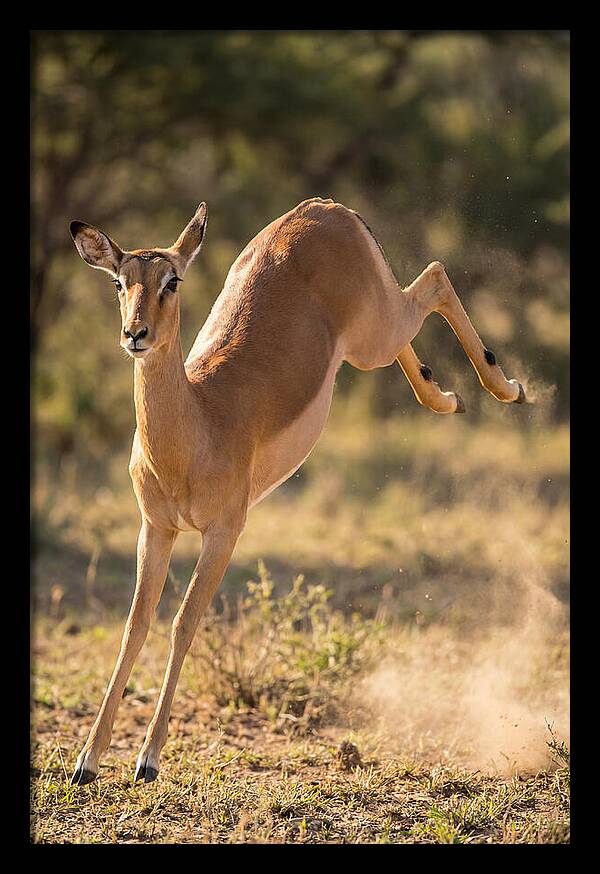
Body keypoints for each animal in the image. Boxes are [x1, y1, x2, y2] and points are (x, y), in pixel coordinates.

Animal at [69, 197, 527, 785]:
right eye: (119, 281)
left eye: (171, 280)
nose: (135, 334)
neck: (197, 424)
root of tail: (325, 207)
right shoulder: (157, 527)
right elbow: (134, 626)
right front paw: (87, 759)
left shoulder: (224, 532)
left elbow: (183, 622)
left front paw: (147, 759)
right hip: (369, 340)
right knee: (419, 314)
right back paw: (447, 397)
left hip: (374, 333)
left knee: (435, 276)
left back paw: (507, 388)